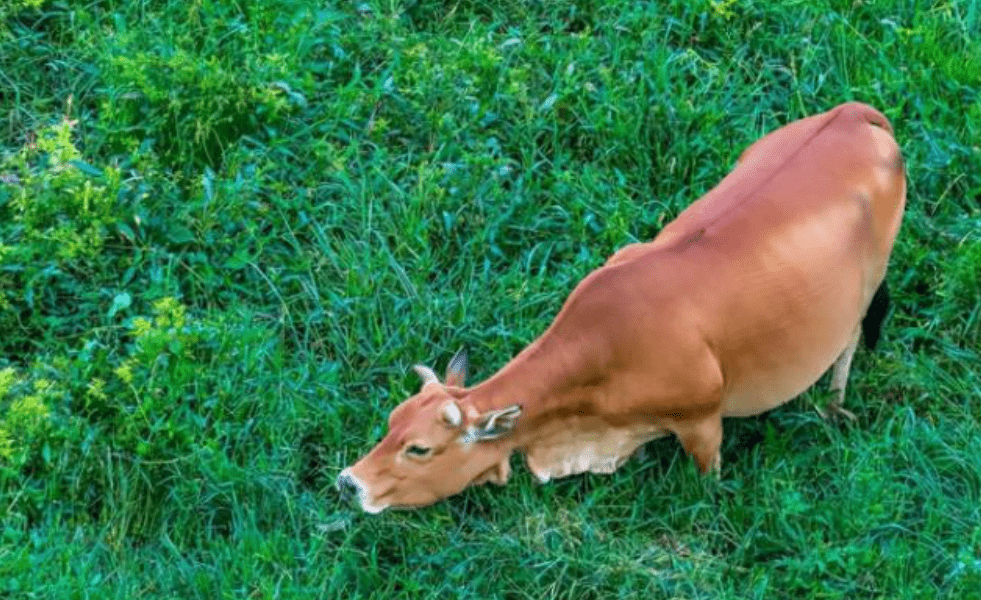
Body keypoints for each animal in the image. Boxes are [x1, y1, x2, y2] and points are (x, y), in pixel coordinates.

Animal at [336, 101, 904, 512]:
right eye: (391, 421)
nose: (348, 482)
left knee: (851, 338)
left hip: (871, 277)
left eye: (419, 448)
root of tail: (854, 113)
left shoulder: (703, 420)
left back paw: (834, 403)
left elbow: (709, 479)